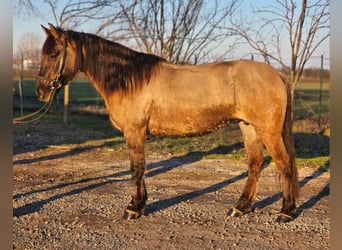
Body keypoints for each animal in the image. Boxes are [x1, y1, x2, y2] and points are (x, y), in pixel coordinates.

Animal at [34, 23, 298, 223]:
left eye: (53, 54)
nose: (41, 91)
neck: (130, 79)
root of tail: (277, 74)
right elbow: (140, 168)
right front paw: (140, 204)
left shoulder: (135, 131)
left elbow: (137, 168)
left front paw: (133, 208)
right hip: (248, 127)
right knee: (255, 165)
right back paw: (240, 207)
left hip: (269, 131)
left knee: (284, 164)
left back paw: (285, 212)